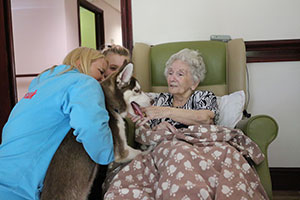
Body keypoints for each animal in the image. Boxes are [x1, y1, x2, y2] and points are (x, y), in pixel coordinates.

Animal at [39, 63, 151, 200]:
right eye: (137, 90)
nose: (152, 101)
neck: (110, 104)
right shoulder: (122, 151)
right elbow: (139, 152)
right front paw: (150, 149)